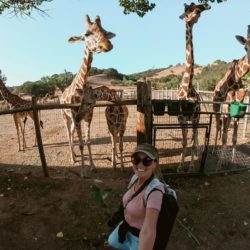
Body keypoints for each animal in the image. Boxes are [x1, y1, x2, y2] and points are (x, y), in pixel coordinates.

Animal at [60, 14, 115, 176]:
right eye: (87, 34)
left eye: (105, 31)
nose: (107, 45)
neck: (82, 84)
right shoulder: (75, 115)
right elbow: (81, 143)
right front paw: (83, 172)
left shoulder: (88, 115)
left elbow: (87, 141)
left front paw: (92, 166)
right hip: (65, 116)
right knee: (68, 134)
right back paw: (72, 158)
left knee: (72, 133)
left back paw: (75, 156)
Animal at [213, 25, 250, 168]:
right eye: (245, 47)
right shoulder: (225, 111)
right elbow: (224, 137)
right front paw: (219, 163)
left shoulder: (238, 113)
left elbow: (233, 137)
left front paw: (232, 162)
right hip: (216, 110)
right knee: (218, 128)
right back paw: (213, 150)